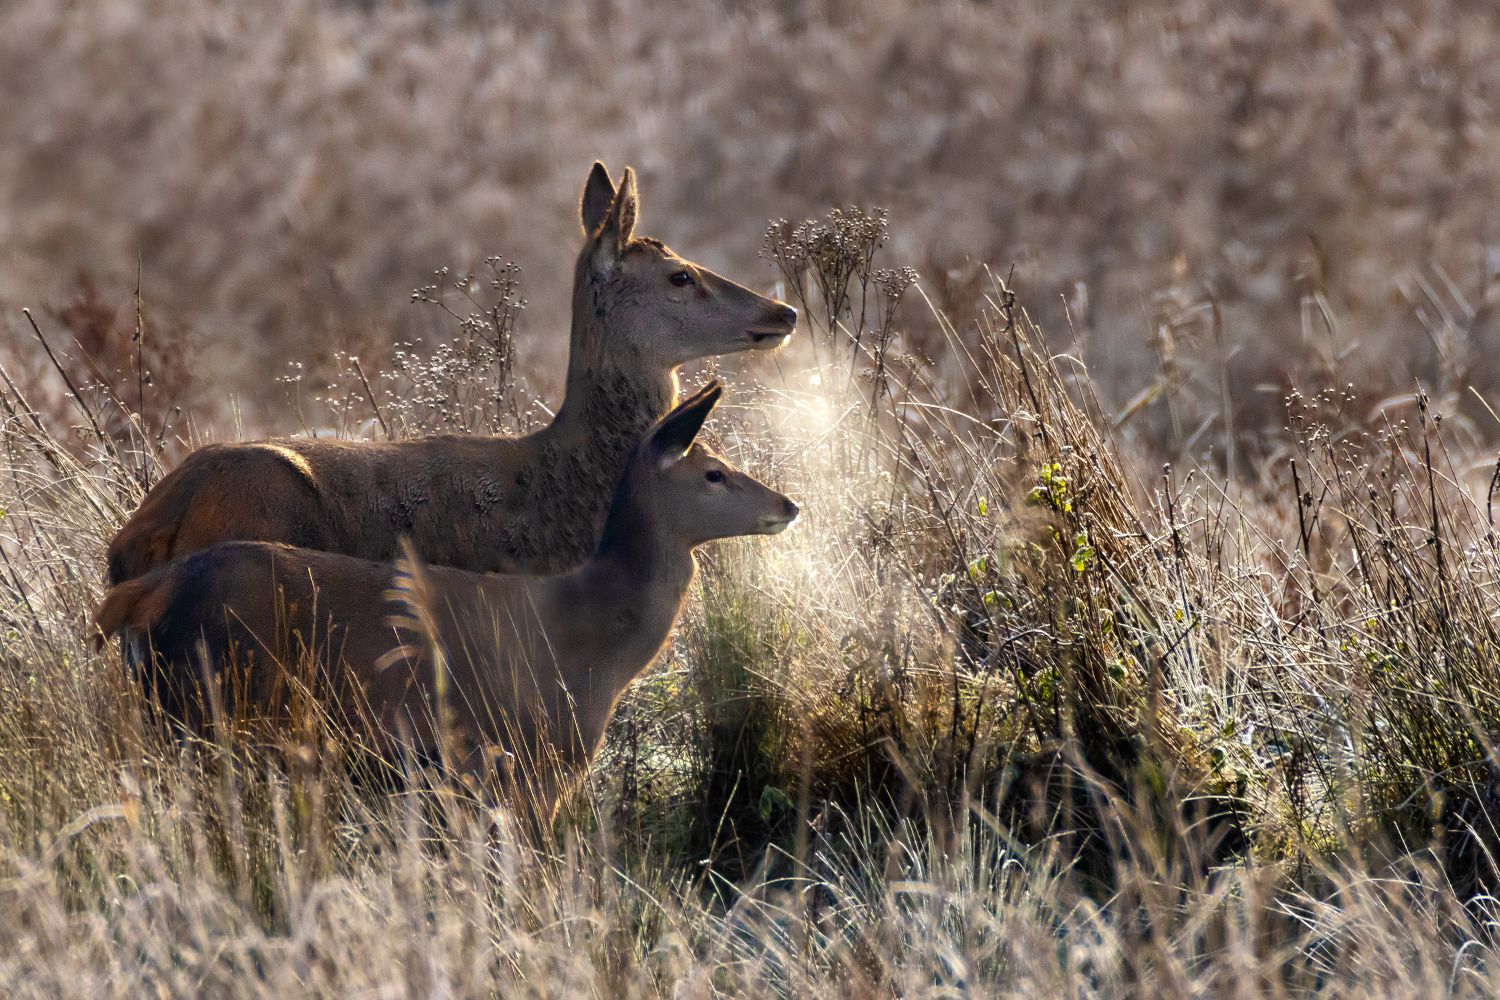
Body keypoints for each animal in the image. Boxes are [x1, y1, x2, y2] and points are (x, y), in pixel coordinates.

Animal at [93, 383, 798, 827]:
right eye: (713, 472)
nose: (788, 504)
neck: (596, 640)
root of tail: (139, 596)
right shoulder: (532, 752)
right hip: (209, 701)